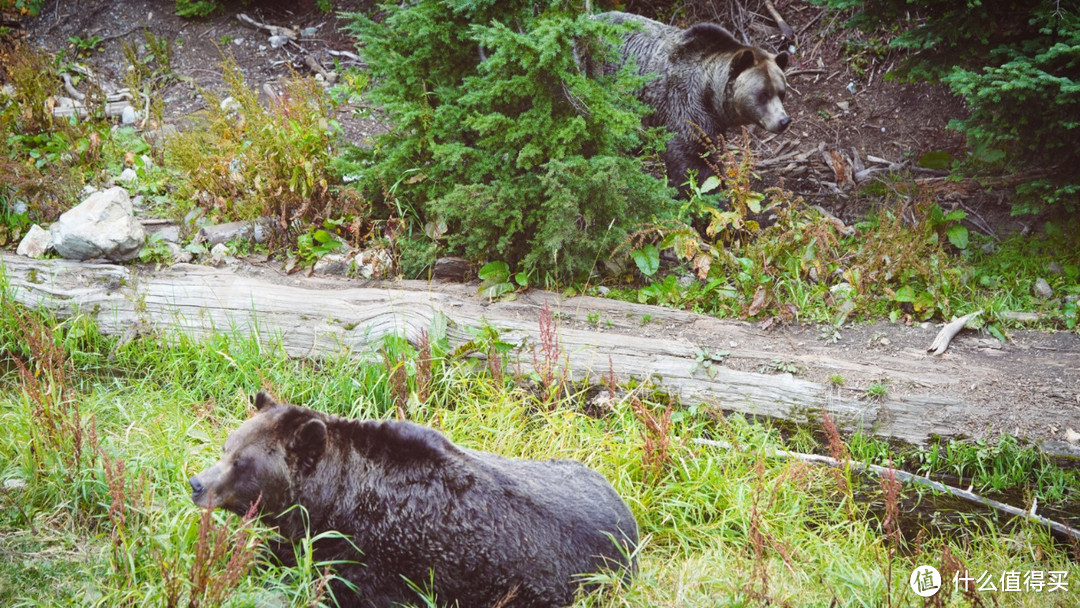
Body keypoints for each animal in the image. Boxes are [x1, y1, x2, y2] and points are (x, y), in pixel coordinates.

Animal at [189, 393, 635, 608]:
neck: (333, 501)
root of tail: (629, 517)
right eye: (227, 446)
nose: (196, 483)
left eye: (243, 463)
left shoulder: (381, 562)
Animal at [596, 10, 790, 187]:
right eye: (763, 94)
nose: (783, 121)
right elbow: (692, 156)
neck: (710, 94)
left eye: (781, 92)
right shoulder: (684, 102)